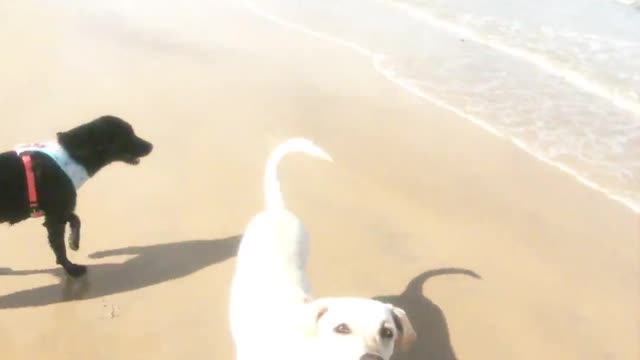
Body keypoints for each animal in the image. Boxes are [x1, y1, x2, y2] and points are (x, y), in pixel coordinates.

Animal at [0, 115, 152, 276]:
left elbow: (76, 220)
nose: (151, 146)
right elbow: (60, 248)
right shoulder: (56, 217)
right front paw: (71, 269)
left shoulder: (60, 210)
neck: (72, 155)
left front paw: (73, 242)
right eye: (128, 135)